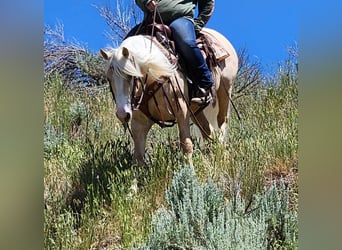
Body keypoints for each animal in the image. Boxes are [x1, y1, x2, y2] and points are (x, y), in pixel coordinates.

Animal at [99, 27, 238, 165]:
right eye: (109, 78)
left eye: (129, 75)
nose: (122, 114)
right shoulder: (139, 123)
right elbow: (138, 157)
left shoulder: (181, 111)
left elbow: (186, 145)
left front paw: (189, 170)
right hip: (195, 110)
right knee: (208, 131)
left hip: (225, 89)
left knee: (222, 121)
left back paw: (223, 153)